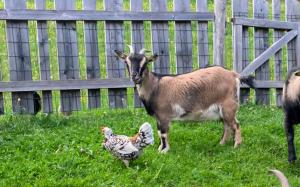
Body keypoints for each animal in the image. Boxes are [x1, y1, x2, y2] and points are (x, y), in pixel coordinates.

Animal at [115, 46, 253, 153]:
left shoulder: (163, 116)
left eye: (145, 62)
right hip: (223, 110)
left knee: (236, 125)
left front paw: (164, 151)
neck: (155, 86)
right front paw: (160, 149)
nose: (135, 76)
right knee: (227, 125)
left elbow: (163, 133)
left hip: (228, 106)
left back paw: (236, 145)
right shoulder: (158, 118)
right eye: (127, 62)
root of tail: (234, 74)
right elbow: (159, 132)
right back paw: (222, 144)